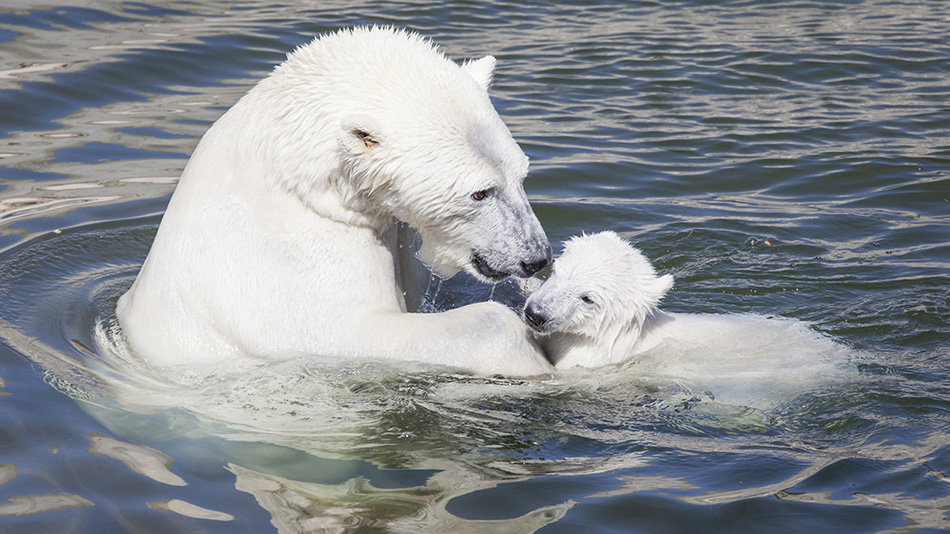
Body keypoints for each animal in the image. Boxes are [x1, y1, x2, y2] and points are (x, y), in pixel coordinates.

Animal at [116, 26, 556, 376]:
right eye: (480, 191)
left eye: (521, 175)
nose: (536, 257)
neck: (300, 179)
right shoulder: (286, 265)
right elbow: (347, 332)